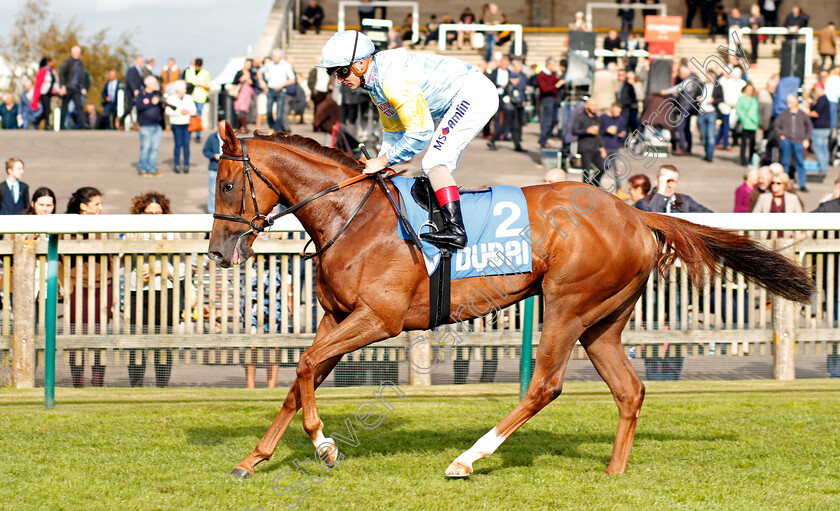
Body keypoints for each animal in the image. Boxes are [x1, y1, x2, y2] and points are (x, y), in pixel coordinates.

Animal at [208, 121, 812, 480]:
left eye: (228, 186)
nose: (217, 250)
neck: (351, 216)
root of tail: (636, 214)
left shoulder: (379, 318)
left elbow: (307, 364)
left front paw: (323, 445)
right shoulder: (338, 315)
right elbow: (301, 376)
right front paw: (252, 459)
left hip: (567, 305)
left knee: (545, 385)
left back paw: (467, 459)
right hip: (602, 322)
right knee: (629, 390)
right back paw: (613, 473)